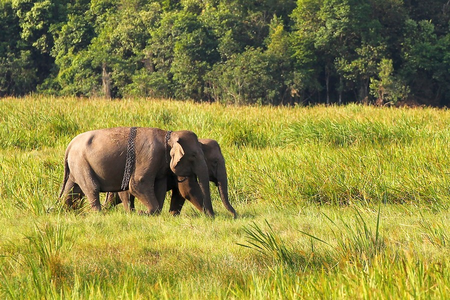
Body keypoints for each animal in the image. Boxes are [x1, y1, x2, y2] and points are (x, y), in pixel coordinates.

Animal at [59, 126, 214, 216]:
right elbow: (138, 183)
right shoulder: (149, 154)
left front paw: (153, 213)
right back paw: (99, 214)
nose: (212, 216)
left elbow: (159, 185)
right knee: (91, 188)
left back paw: (65, 211)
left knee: (71, 189)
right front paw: (142, 213)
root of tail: (69, 145)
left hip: (76, 166)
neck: (168, 135)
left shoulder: (159, 163)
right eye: (194, 155)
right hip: (81, 162)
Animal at [104, 138, 237, 218]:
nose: (235, 216)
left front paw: (173, 215)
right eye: (215, 162)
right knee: (126, 195)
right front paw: (211, 216)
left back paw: (106, 210)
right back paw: (131, 213)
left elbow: (180, 193)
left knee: (115, 197)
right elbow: (188, 190)